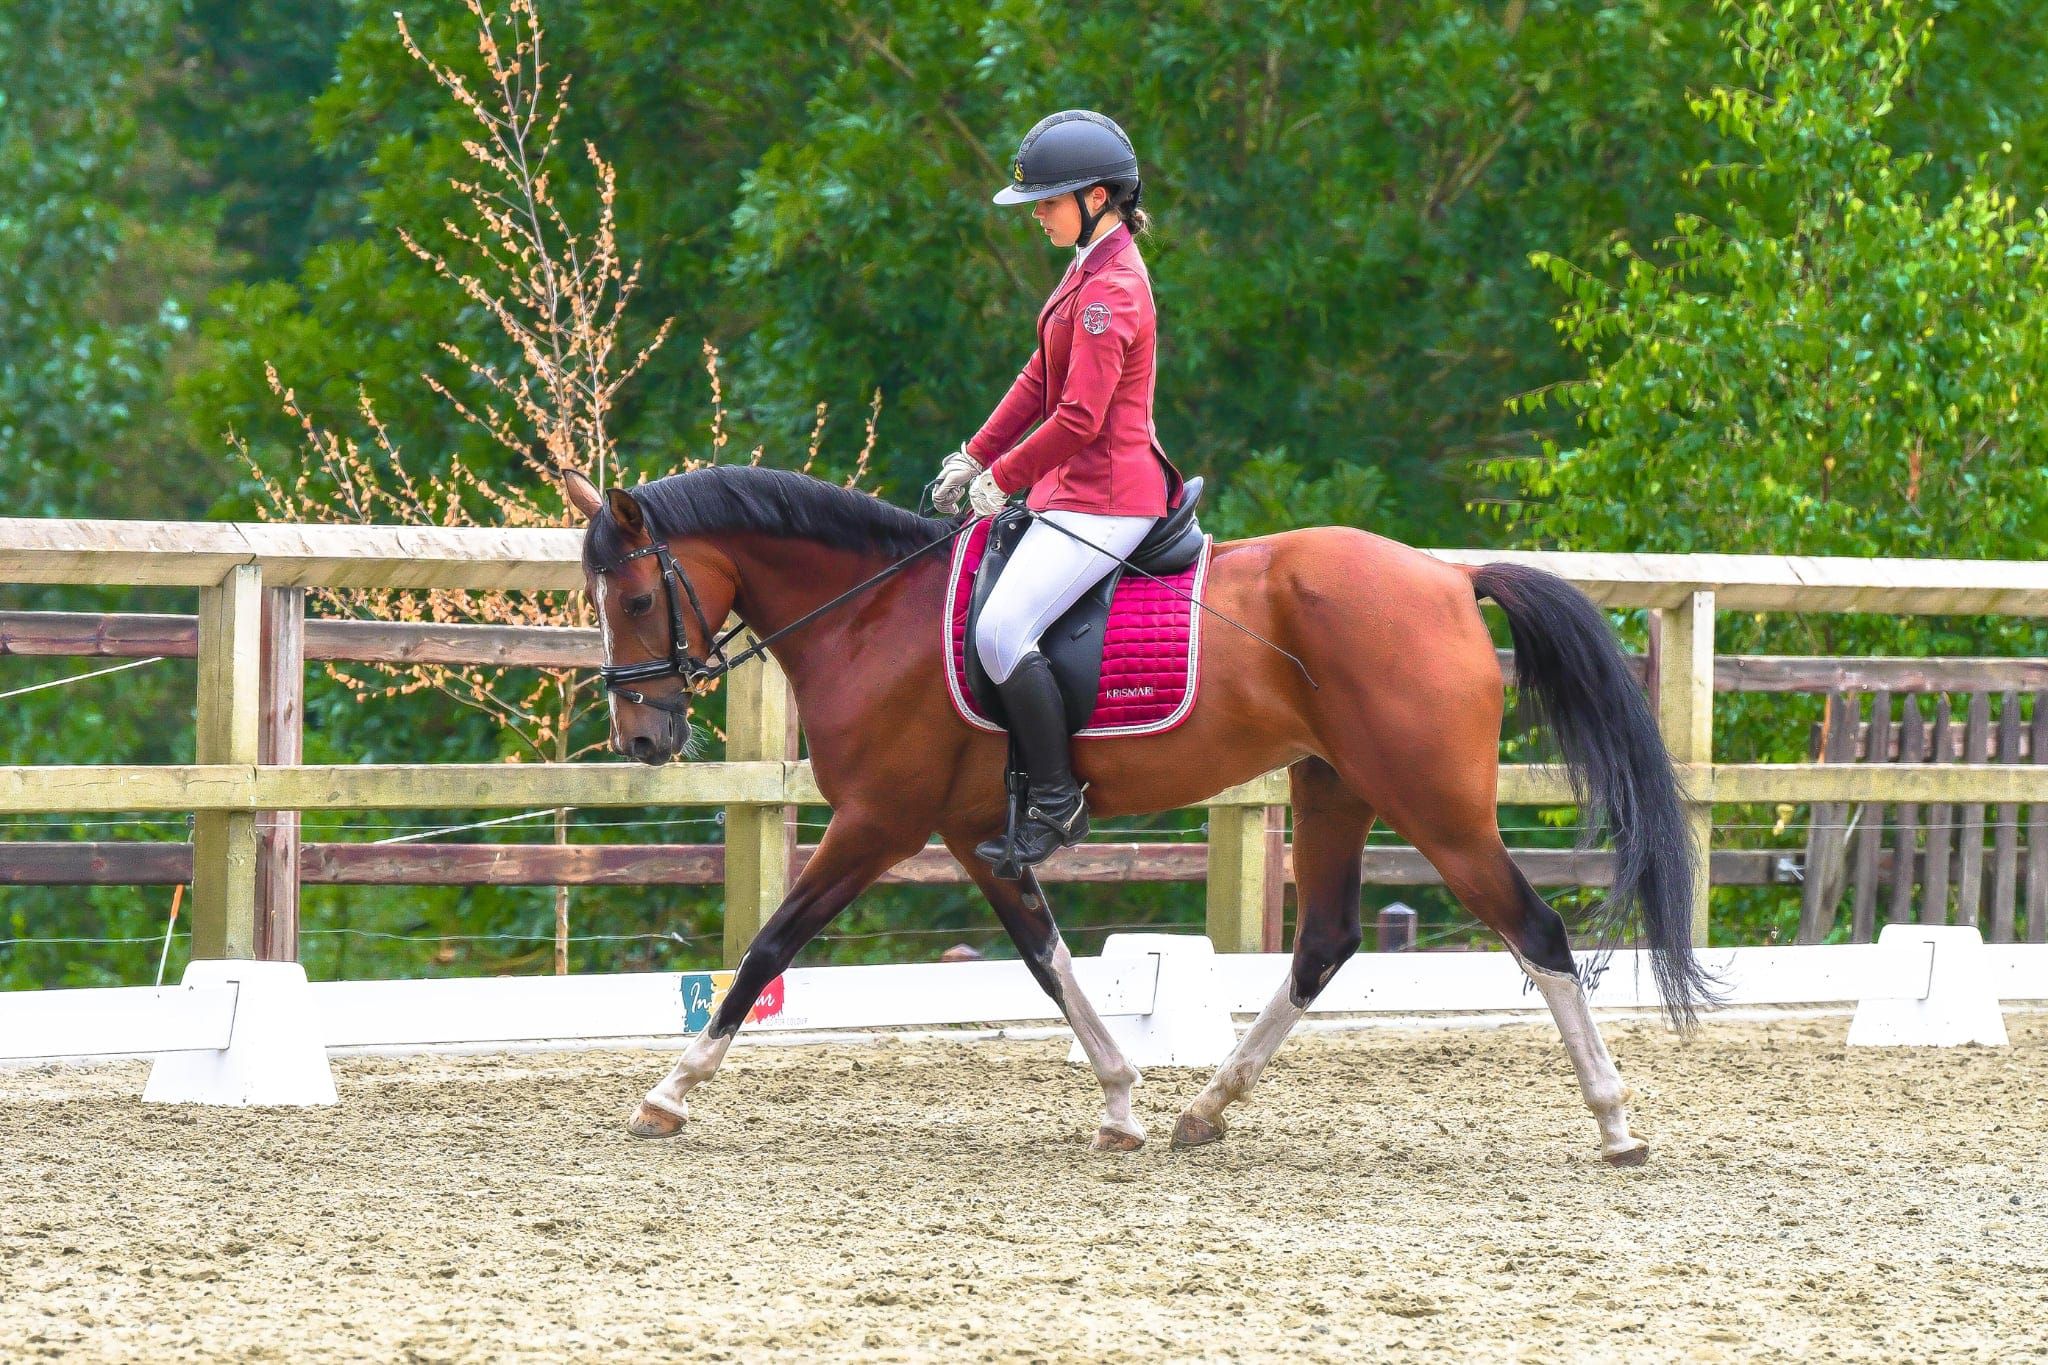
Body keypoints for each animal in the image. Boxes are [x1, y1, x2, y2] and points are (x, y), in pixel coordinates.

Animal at [563, 464, 1711, 1165]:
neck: (870, 615)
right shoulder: (971, 835)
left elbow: (768, 947)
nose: (641, 738)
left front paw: (668, 1093)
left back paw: (1614, 1123)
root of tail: (1445, 575)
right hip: (1333, 788)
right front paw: (1120, 1099)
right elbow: (1046, 959)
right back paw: (1205, 1109)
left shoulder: (878, 824)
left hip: (1434, 804)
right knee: (1326, 941)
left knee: (1537, 932)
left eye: (635, 600)